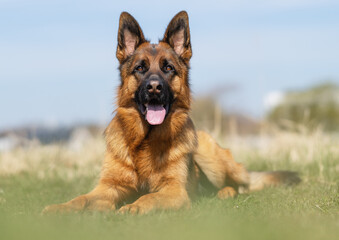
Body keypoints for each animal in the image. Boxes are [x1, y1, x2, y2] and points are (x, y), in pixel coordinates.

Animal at [43, 11, 300, 215]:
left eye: (168, 68)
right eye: (140, 68)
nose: (154, 87)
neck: (145, 141)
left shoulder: (173, 190)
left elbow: (149, 196)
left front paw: (133, 206)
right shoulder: (108, 187)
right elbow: (82, 198)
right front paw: (61, 207)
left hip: (210, 154)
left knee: (239, 185)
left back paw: (226, 192)